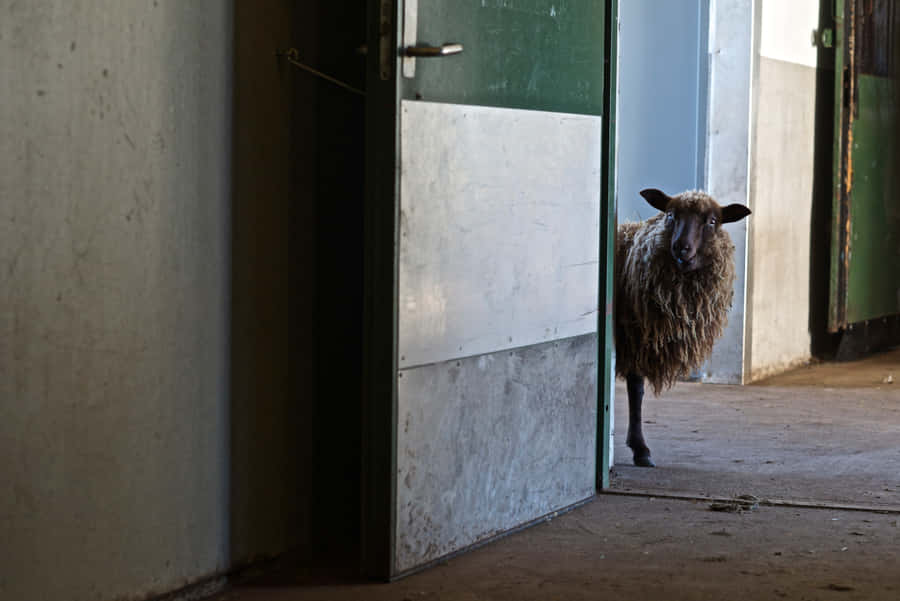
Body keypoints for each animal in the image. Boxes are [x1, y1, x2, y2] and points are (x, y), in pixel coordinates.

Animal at [615, 188, 751, 467]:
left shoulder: (637, 342)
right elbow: (636, 390)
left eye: (712, 221)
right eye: (670, 215)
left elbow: (636, 390)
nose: (681, 247)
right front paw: (640, 449)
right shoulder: (635, 340)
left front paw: (639, 448)